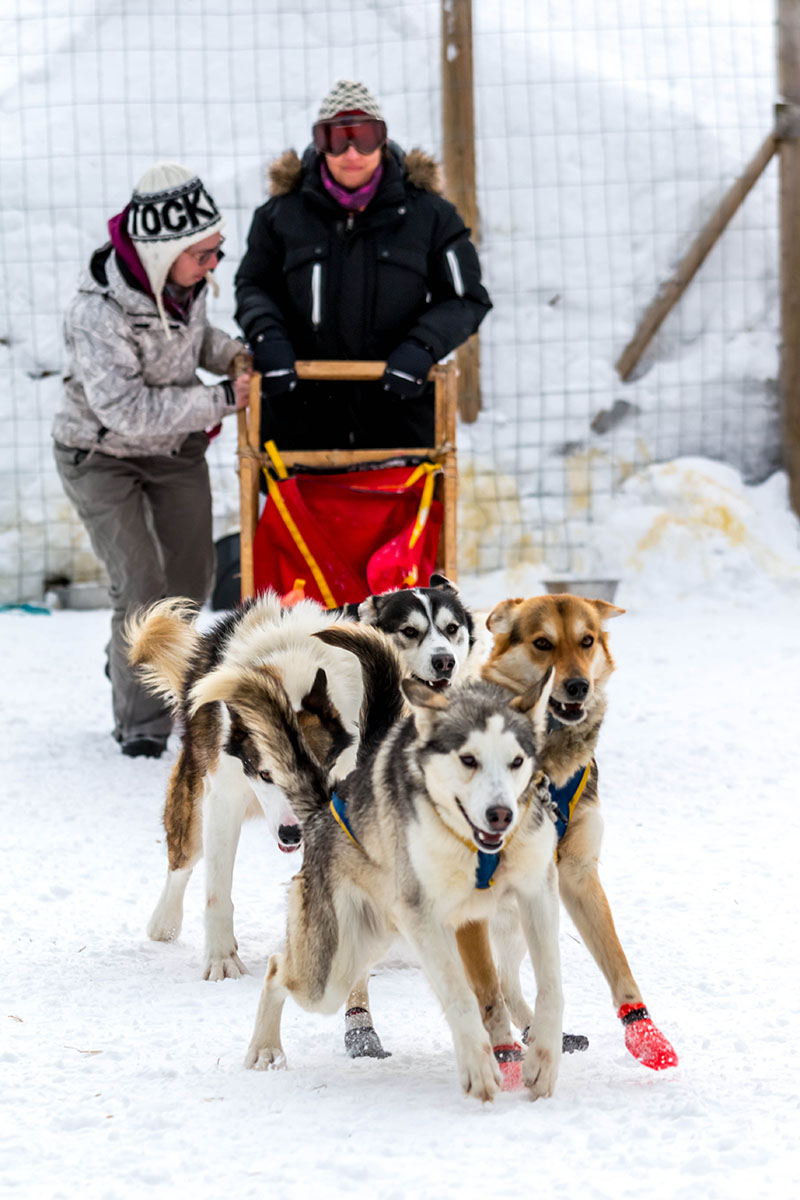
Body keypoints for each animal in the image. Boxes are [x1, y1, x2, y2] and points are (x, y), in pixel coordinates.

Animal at [125, 595, 362, 979]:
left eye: (319, 772)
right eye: (265, 775)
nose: (292, 833)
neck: (289, 677)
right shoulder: (225, 800)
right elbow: (217, 893)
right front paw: (221, 959)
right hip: (194, 807)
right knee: (182, 861)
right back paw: (164, 922)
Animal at [237, 624, 563, 1099]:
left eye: (516, 761)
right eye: (468, 759)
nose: (500, 814)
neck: (476, 849)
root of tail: (323, 807)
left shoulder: (536, 893)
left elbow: (551, 987)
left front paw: (543, 1061)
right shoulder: (423, 916)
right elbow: (460, 996)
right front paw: (480, 1068)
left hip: (370, 944)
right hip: (330, 973)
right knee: (278, 970)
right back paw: (264, 1048)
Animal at [460, 595, 681, 1075]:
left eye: (587, 640)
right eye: (543, 643)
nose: (578, 685)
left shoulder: (578, 873)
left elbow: (616, 960)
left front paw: (644, 1033)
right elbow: (484, 988)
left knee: (507, 978)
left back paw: (536, 1031)